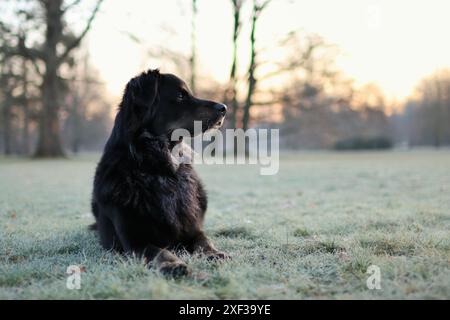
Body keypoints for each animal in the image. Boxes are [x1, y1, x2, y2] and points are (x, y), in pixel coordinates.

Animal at [93, 69, 230, 276]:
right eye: (180, 96)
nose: (224, 107)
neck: (160, 169)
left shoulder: (192, 228)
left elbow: (204, 240)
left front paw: (214, 253)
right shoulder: (135, 242)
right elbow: (160, 251)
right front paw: (173, 264)